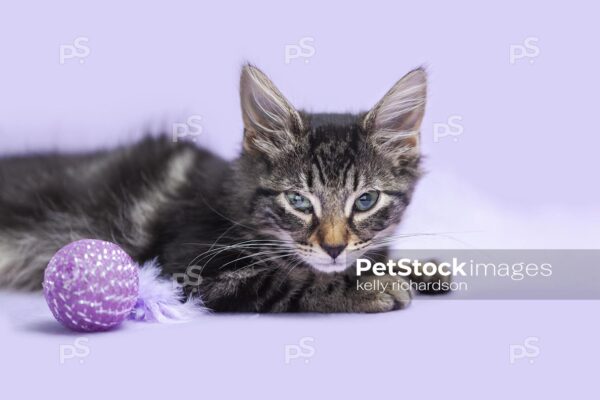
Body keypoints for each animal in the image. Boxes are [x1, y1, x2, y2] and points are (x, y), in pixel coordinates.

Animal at [0, 65, 432, 312]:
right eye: (297, 200)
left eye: (365, 200)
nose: (334, 247)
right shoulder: (187, 269)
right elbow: (285, 279)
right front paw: (370, 287)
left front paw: (419, 269)